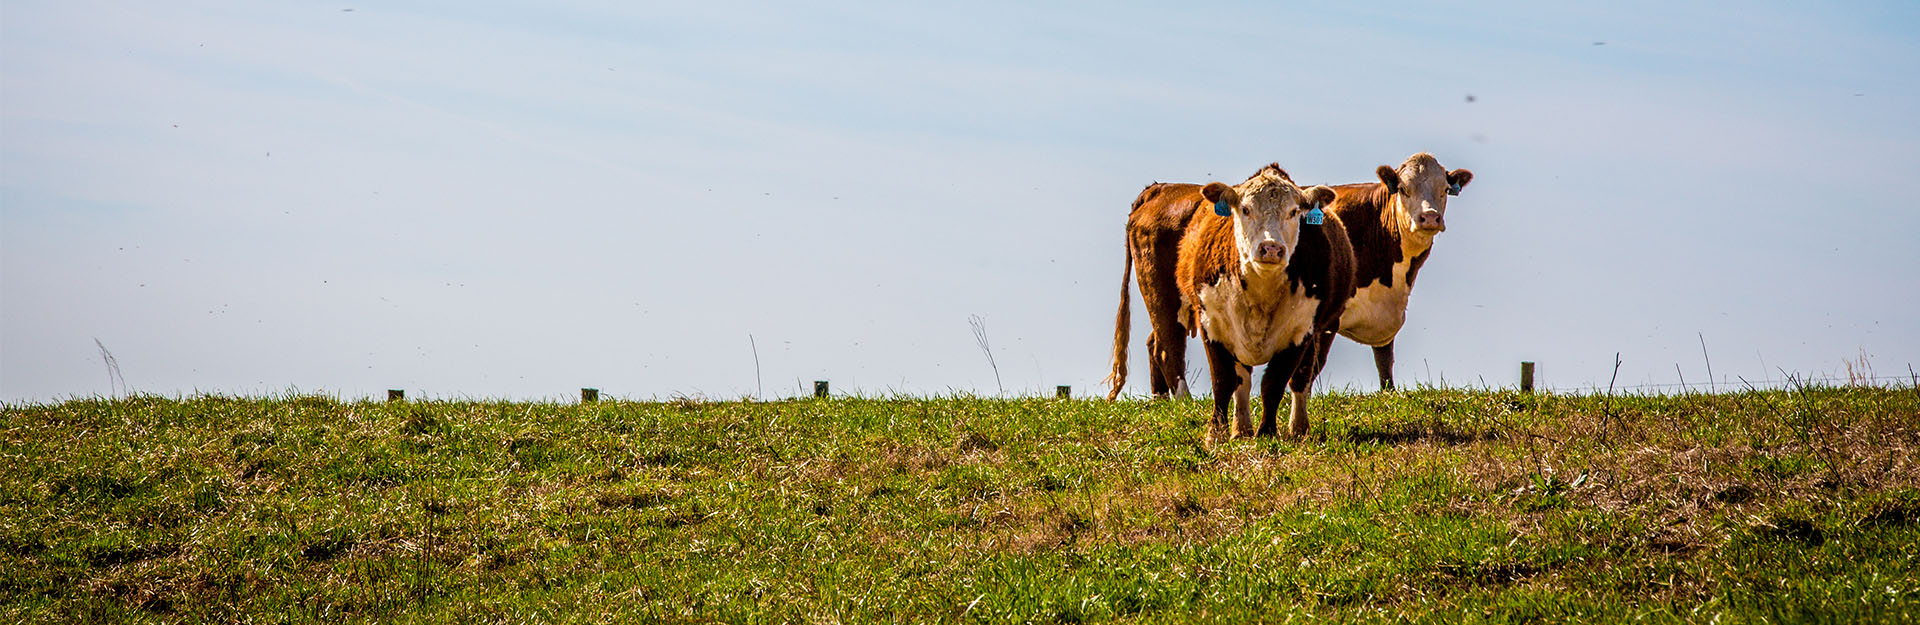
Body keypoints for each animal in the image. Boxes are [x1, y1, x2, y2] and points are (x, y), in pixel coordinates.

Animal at [1121, 164, 1351, 439]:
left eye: (1294, 212)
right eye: (1245, 209)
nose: (1271, 248)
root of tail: (1160, 188)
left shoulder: (1301, 330)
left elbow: (1275, 382)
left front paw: (1266, 432)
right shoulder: (1211, 322)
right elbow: (1223, 379)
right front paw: (1215, 433)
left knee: (1298, 378)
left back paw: (1287, 428)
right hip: (1161, 296)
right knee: (1168, 349)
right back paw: (1187, 404)